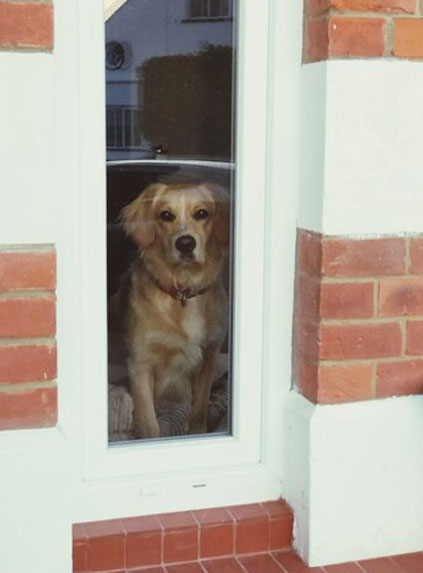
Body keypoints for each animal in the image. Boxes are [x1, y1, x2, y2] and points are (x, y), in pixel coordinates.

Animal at [119, 177, 230, 436]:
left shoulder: (209, 357)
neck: (183, 293)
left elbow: (199, 409)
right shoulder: (139, 365)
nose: (186, 244)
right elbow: (149, 424)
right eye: (166, 215)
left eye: (202, 213)